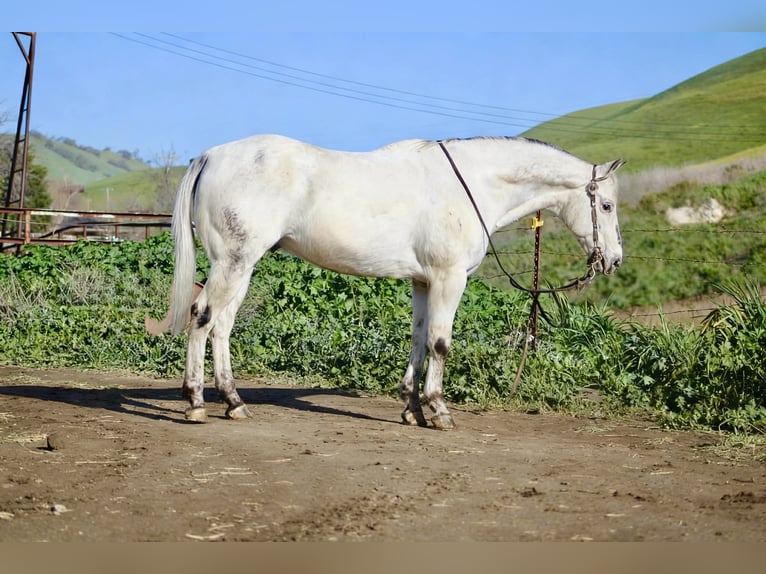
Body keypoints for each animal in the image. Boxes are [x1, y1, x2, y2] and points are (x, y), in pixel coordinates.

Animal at [153, 134, 625, 429]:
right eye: (606, 205)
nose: (614, 260)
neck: (471, 185)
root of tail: (212, 155)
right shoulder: (449, 278)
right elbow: (440, 342)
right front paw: (439, 411)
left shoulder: (423, 282)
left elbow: (418, 339)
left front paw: (412, 409)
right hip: (233, 262)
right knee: (203, 316)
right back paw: (196, 403)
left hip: (241, 266)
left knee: (222, 326)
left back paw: (233, 402)